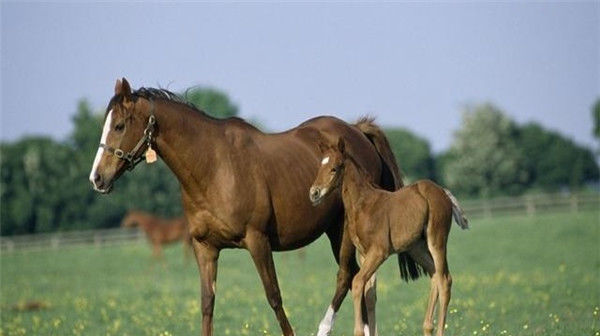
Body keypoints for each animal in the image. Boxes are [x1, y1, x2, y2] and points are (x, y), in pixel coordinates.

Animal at [89, 79, 420, 336]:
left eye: (119, 125)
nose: (97, 178)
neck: (214, 166)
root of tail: (356, 130)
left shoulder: (258, 241)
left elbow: (274, 297)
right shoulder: (204, 247)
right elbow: (207, 303)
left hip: (343, 229)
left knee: (346, 277)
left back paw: (324, 327)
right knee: (362, 284)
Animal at [310, 136, 468, 336]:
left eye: (335, 168)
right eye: (319, 167)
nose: (314, 193)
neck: (364, 205)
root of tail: (442, 191)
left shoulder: (379, 252)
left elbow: (357, 282)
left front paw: (358, 331)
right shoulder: (364, 254)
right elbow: (369, 293)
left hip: (436, 240)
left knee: (445, 279)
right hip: (416, 248)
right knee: (434, 275)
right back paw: (427, 327)